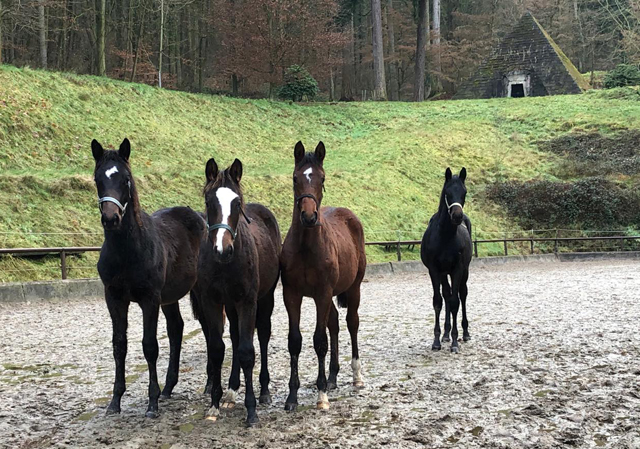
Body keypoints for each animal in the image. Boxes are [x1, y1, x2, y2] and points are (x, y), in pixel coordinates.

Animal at [90, 139, 204, 416]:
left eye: (126, 179)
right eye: (98, 179)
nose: (111, 218)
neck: (128, 251)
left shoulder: (149, 299)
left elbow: (150, 346)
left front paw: (151, 403)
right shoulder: (114, 298)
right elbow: (119, 345)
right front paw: (115, 401)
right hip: (170, 297)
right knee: (176, 329)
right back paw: (169, 387)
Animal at [280, 140, 364, 410]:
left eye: (322, 177)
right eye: (295, 178)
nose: (309, 216)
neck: (306, 247)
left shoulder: (322, 293)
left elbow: (319, 340)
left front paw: (321, 395)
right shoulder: (292, 295)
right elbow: (295, 341)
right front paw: (292, 396)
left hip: (353, 288)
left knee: (351, 322)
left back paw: (356, 376)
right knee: (334, 323)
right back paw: (333, 377)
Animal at [422, 166, 472, 352]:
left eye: (464, 192)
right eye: (447, 192)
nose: (457, 216)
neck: (444, 236)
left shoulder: (457, 269)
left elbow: (455, 301)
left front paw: (455, 341)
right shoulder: (434, 270)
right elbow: (438, 301)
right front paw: (437, 340)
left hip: (465, 271)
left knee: (462, 294)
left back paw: (465, 333)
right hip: (444, 273)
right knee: (446, 294)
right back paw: (445, 334)